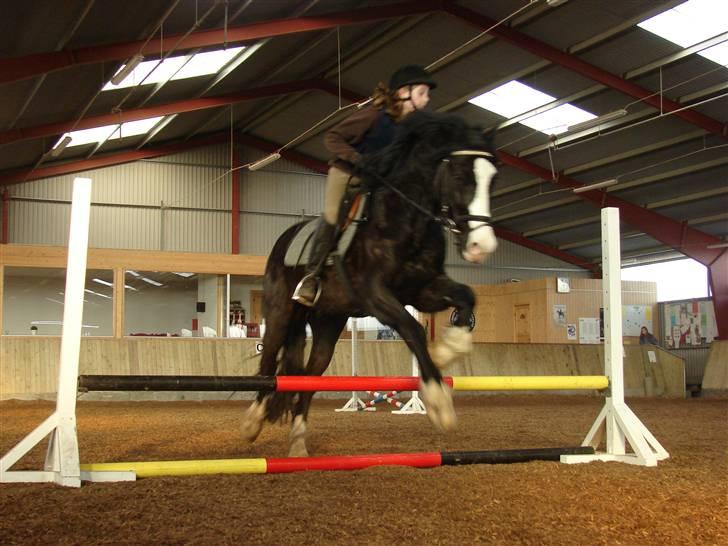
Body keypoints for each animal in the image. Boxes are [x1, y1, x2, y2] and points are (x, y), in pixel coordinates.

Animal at [242, 110, 498, 454]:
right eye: (460, 177)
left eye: (493, 178)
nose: (482, 246)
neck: (406, 218)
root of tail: (286, 237)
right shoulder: (374, 295)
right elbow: (413, 329)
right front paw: (438, 402)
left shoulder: (423, 289)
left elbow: (467, 296)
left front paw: (450, 348)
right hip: (281, 311)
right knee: (269, 361)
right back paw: (252, 423)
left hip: (329, 320)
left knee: (310, 375)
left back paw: (297, 442)